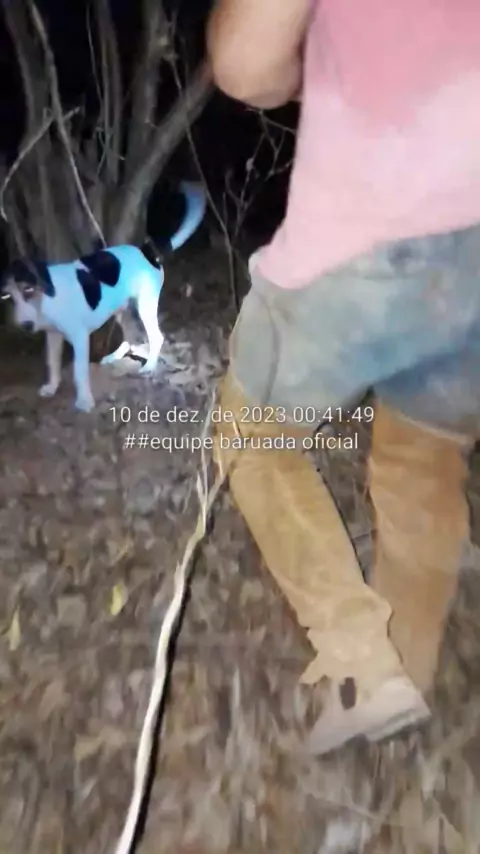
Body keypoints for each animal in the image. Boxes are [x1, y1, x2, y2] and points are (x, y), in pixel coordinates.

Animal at [0, 181, 206, 412]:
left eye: (28, 289)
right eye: (7, 296)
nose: (25, 325)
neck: (48, 298)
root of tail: (147, 251)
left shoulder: (80, 338)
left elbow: (79, 372)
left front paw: (84, 401)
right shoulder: (53, 336)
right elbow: (52, 364)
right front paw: (52, 387)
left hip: (145, 305)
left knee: (155, 336)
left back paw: (149, 366)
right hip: (121, 308)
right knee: (131, 337)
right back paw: (114, 357)